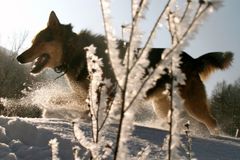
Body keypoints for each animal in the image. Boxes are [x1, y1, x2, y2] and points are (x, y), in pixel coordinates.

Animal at [17, 10, 234, 134]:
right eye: (32, 42)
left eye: (39, 42)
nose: (19, 58)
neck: (77, 52)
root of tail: (193, 59)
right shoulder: (84, 95)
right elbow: (58, 100)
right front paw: (48, 109)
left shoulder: (103, 94)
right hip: (162, 107)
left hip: (193, 105)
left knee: (213, 122)